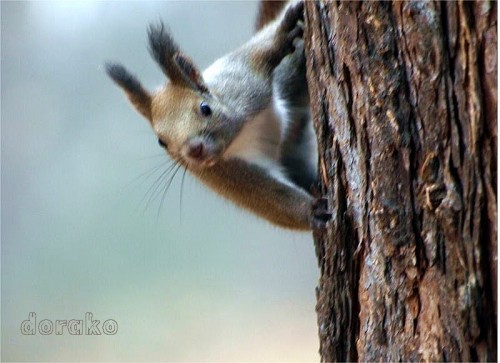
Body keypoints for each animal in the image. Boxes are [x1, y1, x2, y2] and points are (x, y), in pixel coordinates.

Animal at [105, 0, 330, 230]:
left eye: (205, 108)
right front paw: (311, 213)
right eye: (162, 142)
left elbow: (254, 57)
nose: (194, 150)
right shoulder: (220, 172)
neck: (237, 138)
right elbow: (268, 198)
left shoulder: (241, 84)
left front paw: (281, 35)